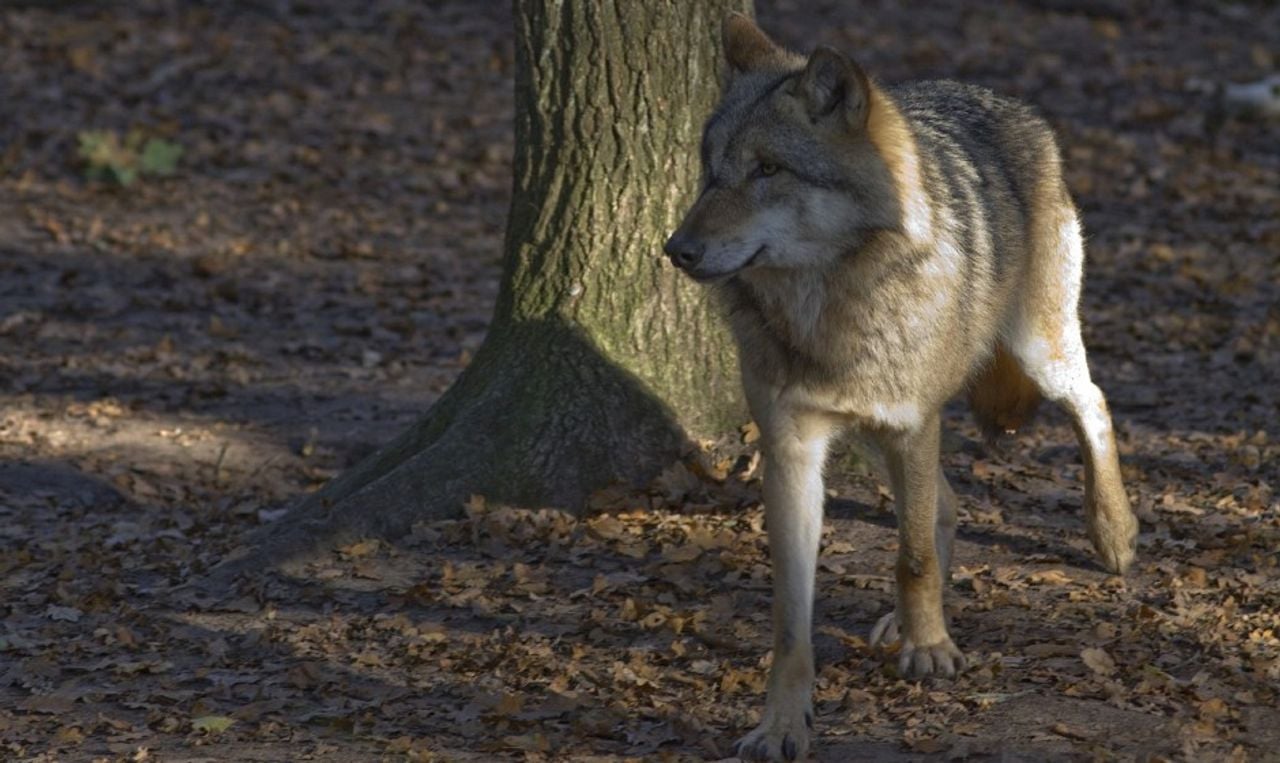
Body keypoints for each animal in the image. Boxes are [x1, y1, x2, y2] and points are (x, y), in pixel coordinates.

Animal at [664, 14, 1140, 762]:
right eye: (711, 171)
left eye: (768, 169)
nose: (674, 249)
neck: (832, 306)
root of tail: (1010, 104)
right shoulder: (792, 446)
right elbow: (791, 616)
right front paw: (782, 722)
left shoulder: (912, 422)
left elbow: (911, 556)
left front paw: (931, 649)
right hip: (886, 431)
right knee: (947, 502)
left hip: (1036, 351)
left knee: (1093, 403)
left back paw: (1114, 533)